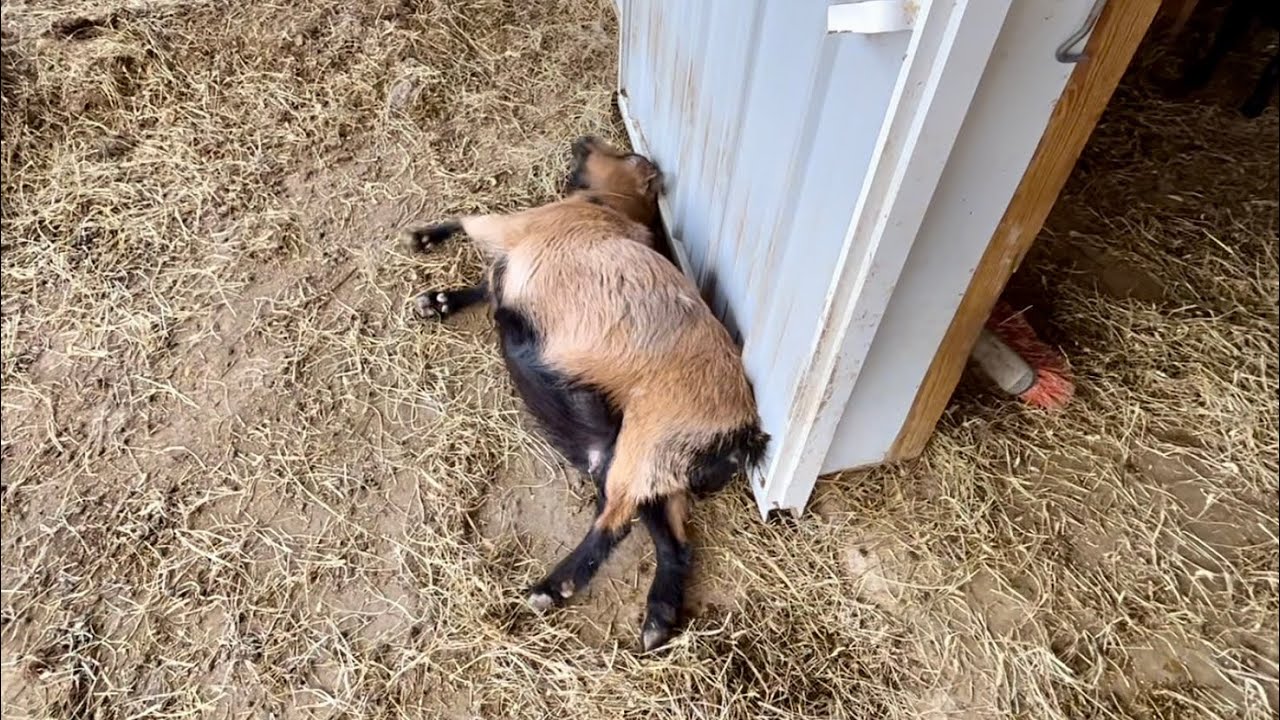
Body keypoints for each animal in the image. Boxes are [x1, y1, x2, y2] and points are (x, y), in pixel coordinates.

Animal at [402, 137, 769, 651]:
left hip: (644, 444)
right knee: (675, 542)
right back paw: (658, 618)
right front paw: (439, 300)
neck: (608, 210)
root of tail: (742, 436)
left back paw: (552, 587)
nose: (584, 141)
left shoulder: (523, 225)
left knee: (614, 523)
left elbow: (473, 222)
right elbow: (490, 285)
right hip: (645, 466)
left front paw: (424, 238)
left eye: (629, 157)